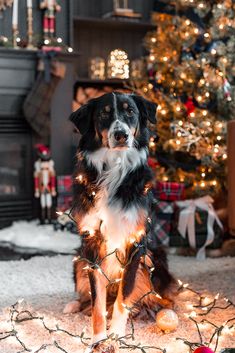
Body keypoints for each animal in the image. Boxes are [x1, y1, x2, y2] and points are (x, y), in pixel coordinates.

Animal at [63, 92, 174, 350]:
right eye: (104, 114)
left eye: (130, 112)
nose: (121, 134)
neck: (114, 167)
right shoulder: (92, 244)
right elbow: (97, 304)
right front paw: (97, 340)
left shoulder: (134, 243)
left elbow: (122, 300)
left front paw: (114, 339)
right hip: (78, 260)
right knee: (88, 299)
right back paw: (74, 305)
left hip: (153, 258)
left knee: (152, 296)